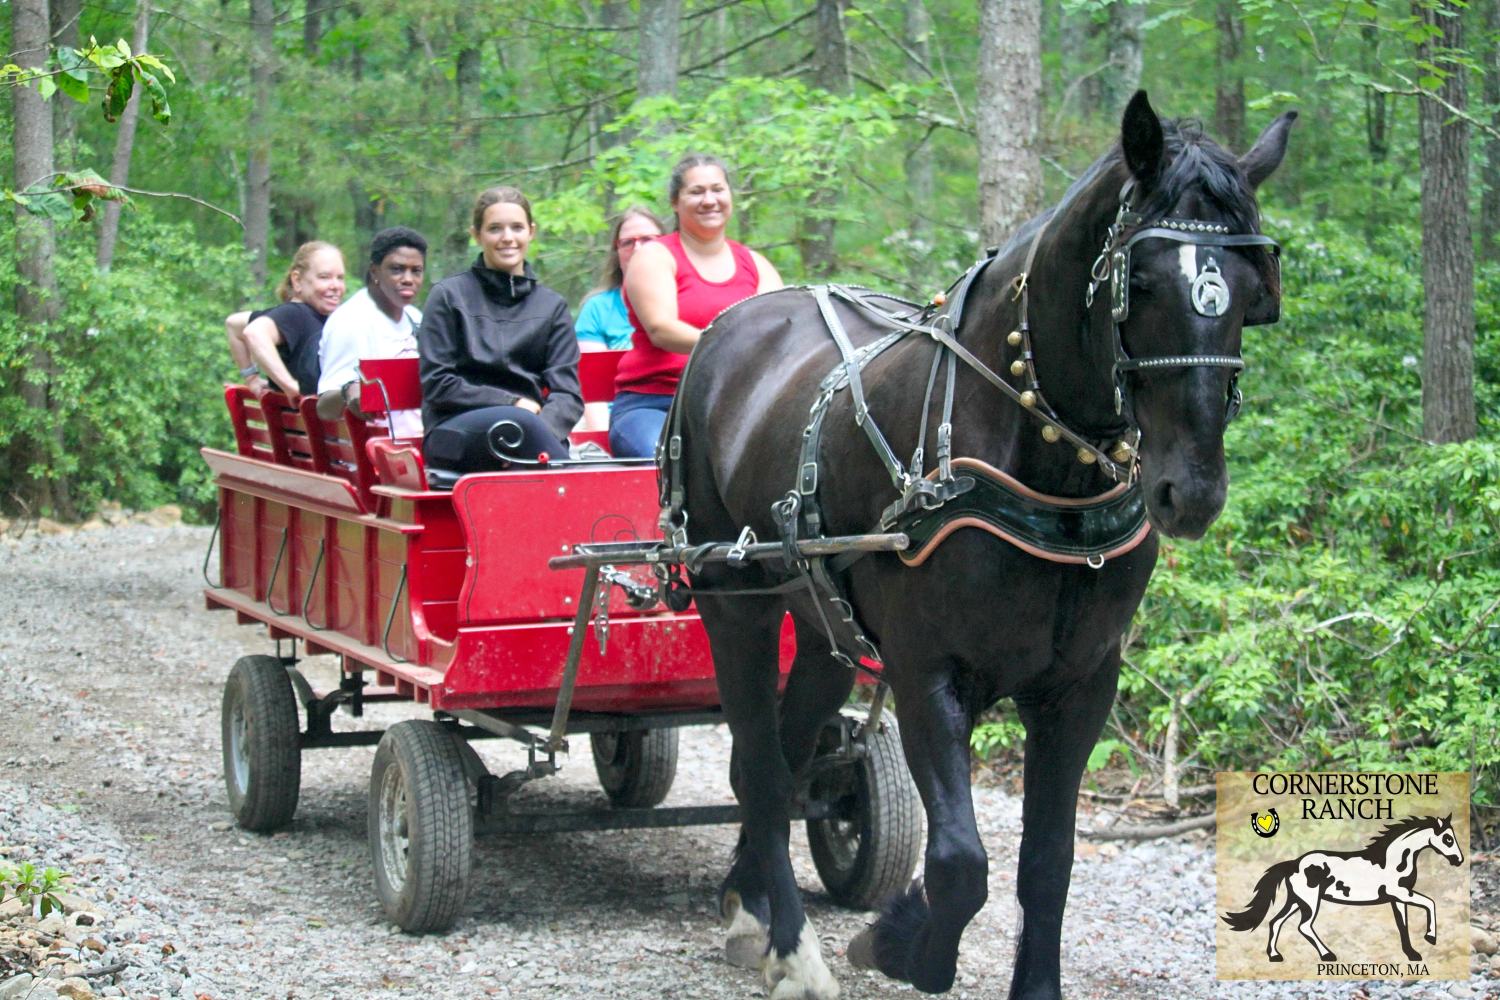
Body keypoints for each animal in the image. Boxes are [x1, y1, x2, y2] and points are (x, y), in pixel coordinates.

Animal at [669, 89, 1290, 995]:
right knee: (759, 762)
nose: (1194, 491)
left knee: (783, 756)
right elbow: (962, 863)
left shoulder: (1081, 686)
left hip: (819, 621)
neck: (1045, 472)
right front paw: (901, 944)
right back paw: (787, 941)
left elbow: (1048, 862)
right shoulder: (927, 670)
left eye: (1252, 290)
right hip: (734, 600)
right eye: (1136, 283)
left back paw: (746, 903)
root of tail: (732, 328)